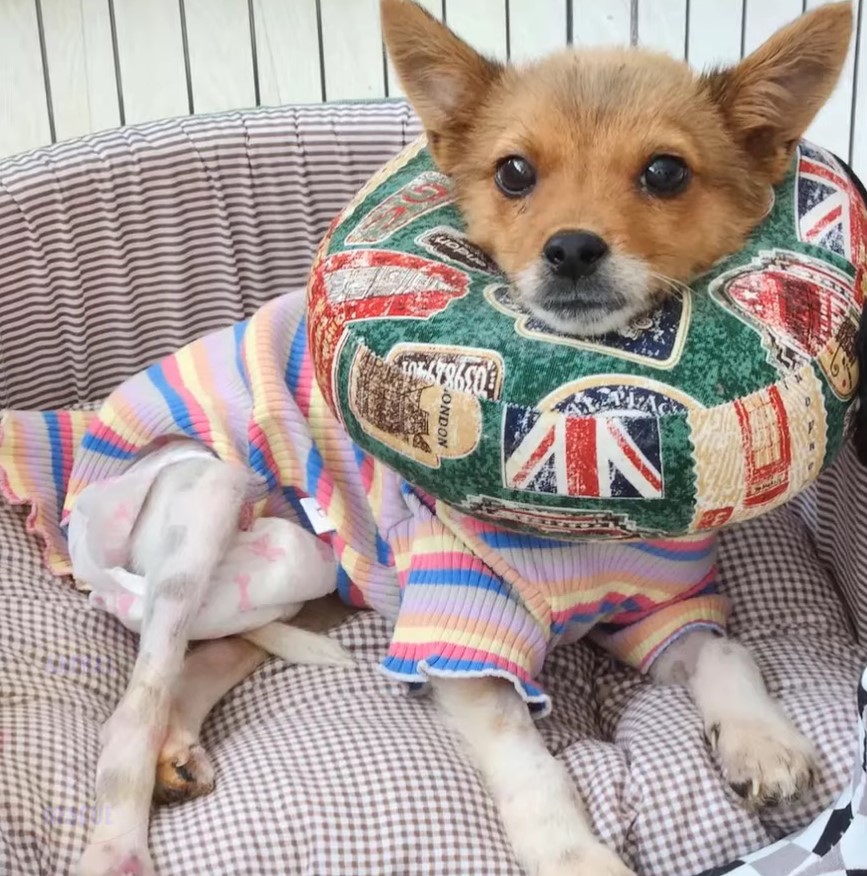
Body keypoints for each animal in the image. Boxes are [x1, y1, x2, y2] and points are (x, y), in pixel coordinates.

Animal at [61, 1, 856, 876]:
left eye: (664, 173)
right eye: (513, 173)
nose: (571, 250)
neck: (576, 518)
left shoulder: (663, 609)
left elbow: (724, 651)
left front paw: (759, 739)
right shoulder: (458, 632)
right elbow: (533, 765)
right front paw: (576, 857)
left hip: (304, 574)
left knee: (209, 656)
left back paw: (177, 747)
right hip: (204, 500)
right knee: (131, 709)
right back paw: (117, 840)